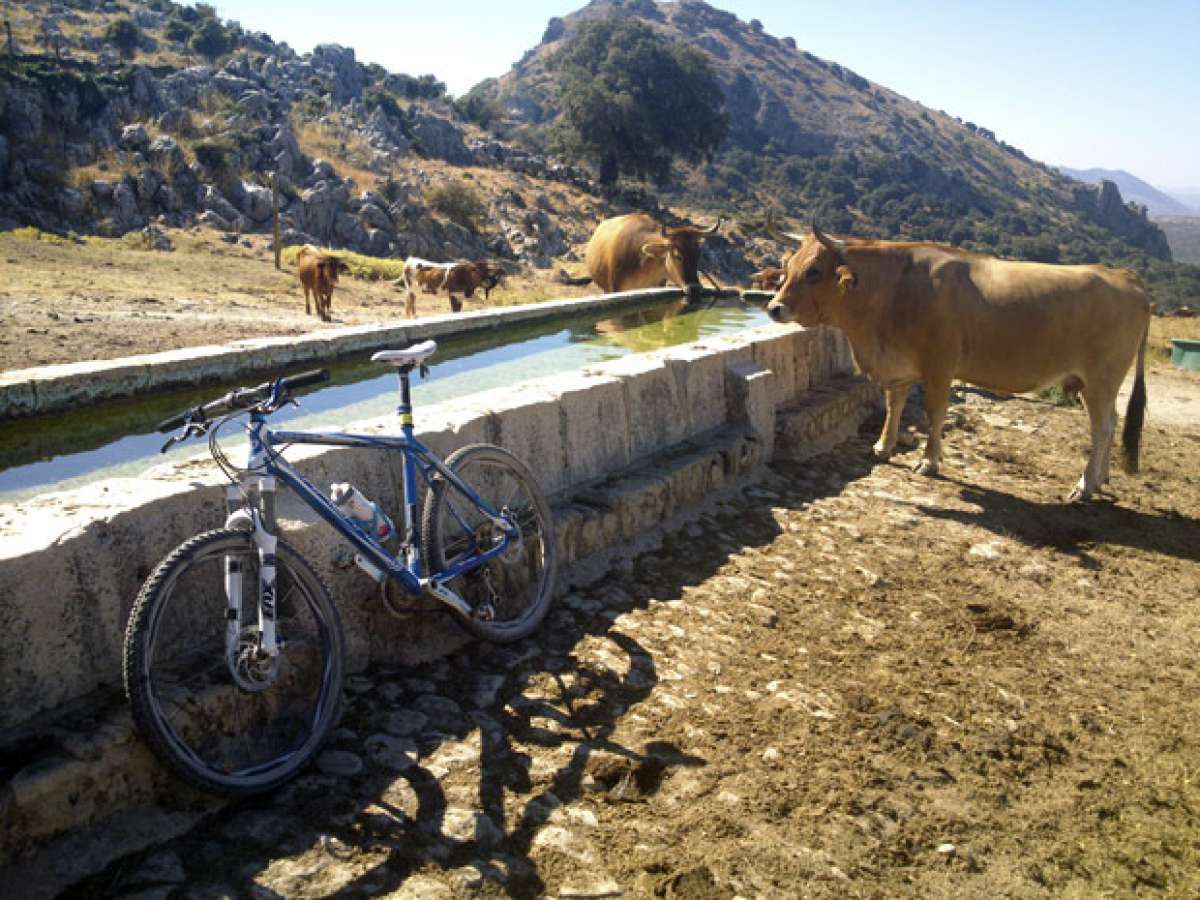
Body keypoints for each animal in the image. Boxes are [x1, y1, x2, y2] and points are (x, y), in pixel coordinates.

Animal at [768, 216, 1152, 504]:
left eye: (814, 271)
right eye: (787, 266)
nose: (773, 308)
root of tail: (1123, 276)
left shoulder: (939, 366)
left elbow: (935, 413)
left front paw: (928, 461)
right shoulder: (899, 365)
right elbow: (894, 404)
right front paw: (882, 446)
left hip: (1101, 379)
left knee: (1102, 427)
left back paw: (1084, 485)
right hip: (1100, 383)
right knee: (1113, 420)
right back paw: (1102, 479)